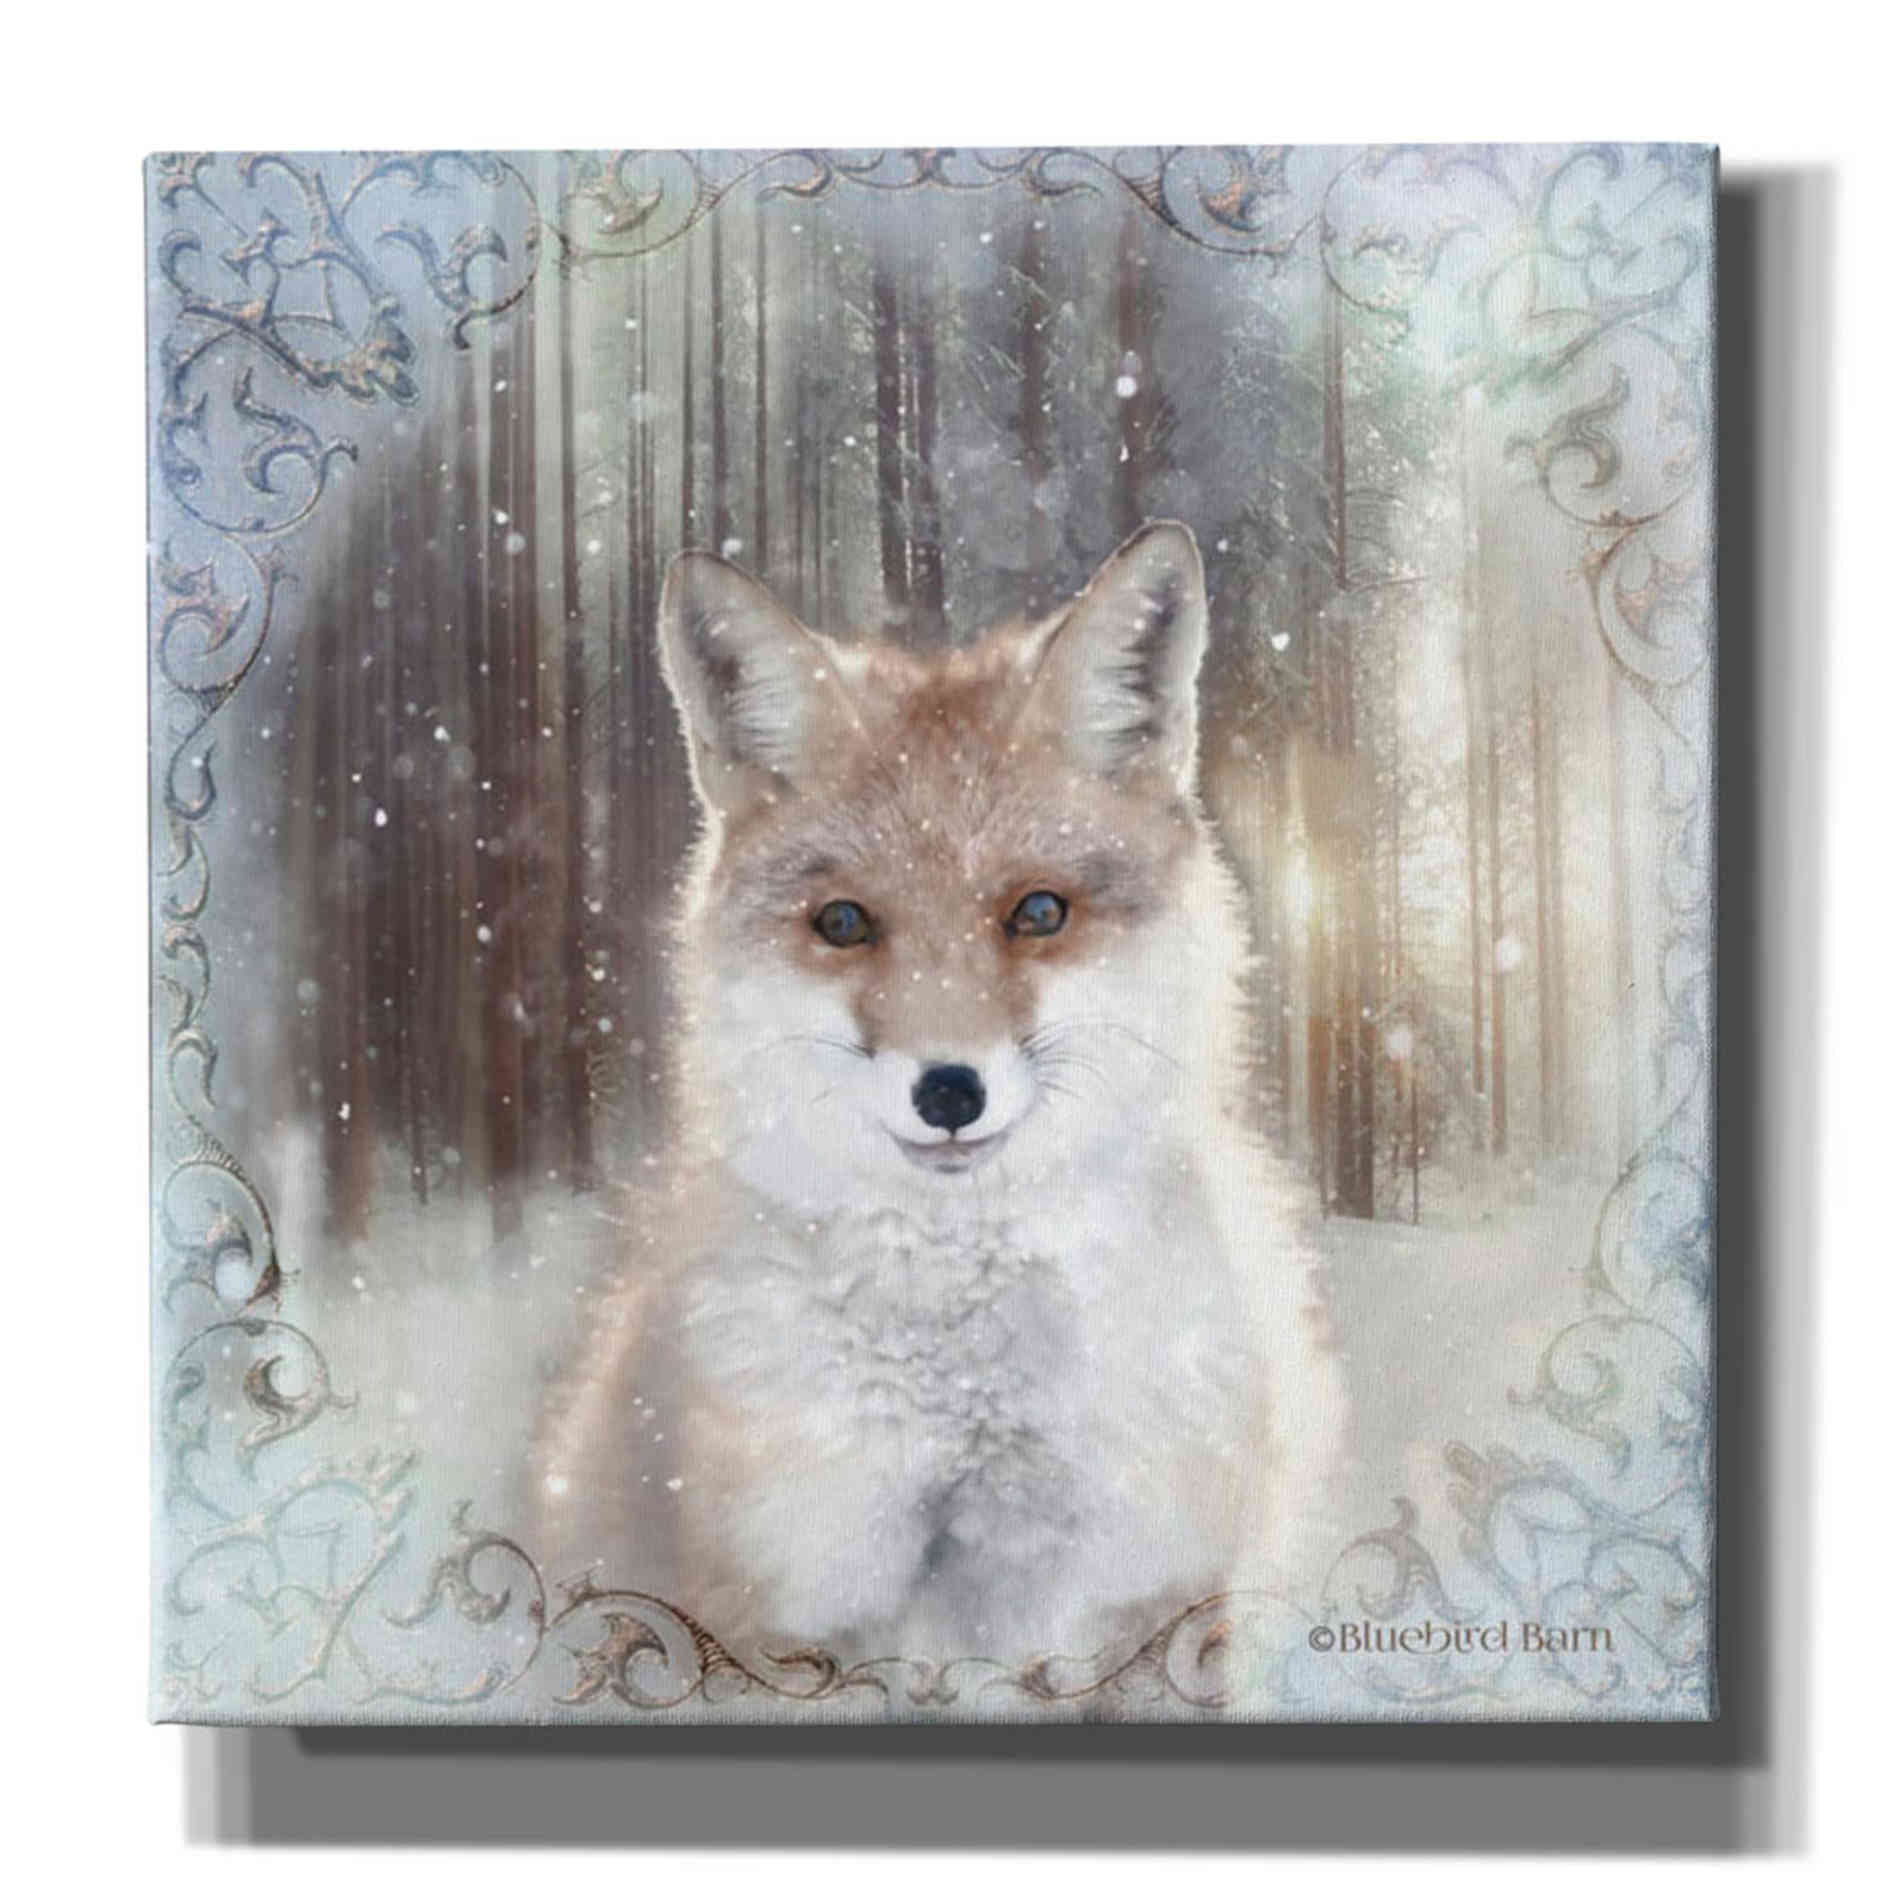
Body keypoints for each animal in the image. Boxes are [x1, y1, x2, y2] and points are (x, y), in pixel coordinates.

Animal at [533, 521, 1346, 1672]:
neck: (969, 1410)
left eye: (1038, 912)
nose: (950, 1090)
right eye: (843, 924)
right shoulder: (781, 1617)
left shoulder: (1152, 1600)